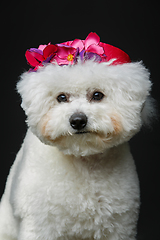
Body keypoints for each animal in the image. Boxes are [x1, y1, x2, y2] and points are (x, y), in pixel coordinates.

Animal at [0, 32, 155, 240]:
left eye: (97, 95)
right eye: (61, 97)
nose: (78, 120)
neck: (83, 161)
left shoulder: (118, 226)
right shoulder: (41, 225)